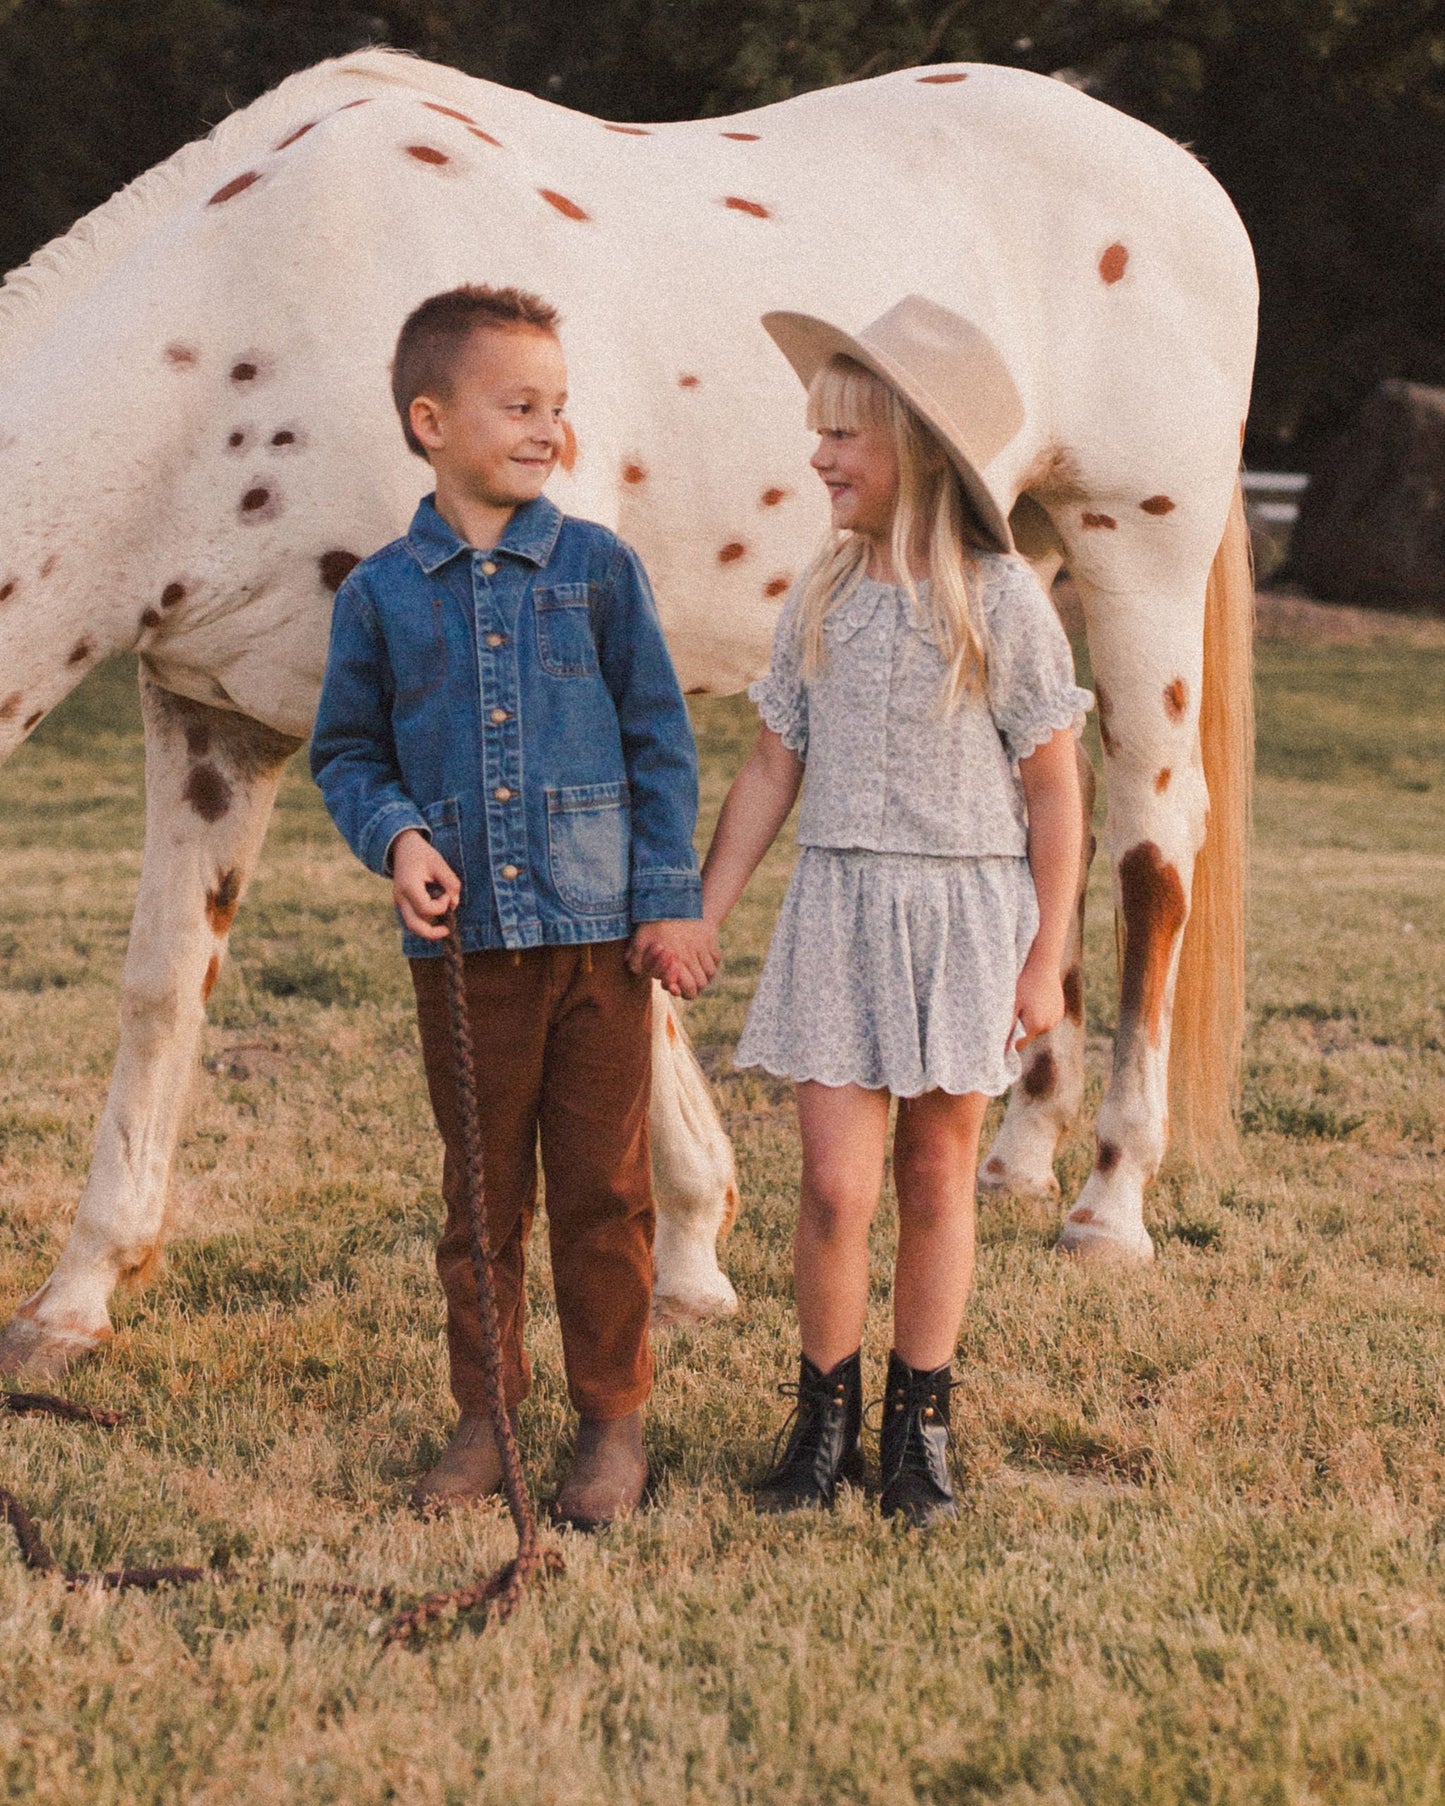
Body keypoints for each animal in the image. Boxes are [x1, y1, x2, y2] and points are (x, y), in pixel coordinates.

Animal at [0, 56, 1249, 1379]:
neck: (253, 325)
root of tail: (1171, 166)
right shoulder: (213, 720)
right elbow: (163, 988)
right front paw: (75, 1296)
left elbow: (614, 934)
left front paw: (692, 1251)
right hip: (1019, 582)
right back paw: (1016, 1155)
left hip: (1138, 565)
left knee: (1152, 856)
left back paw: (1107, 1206)